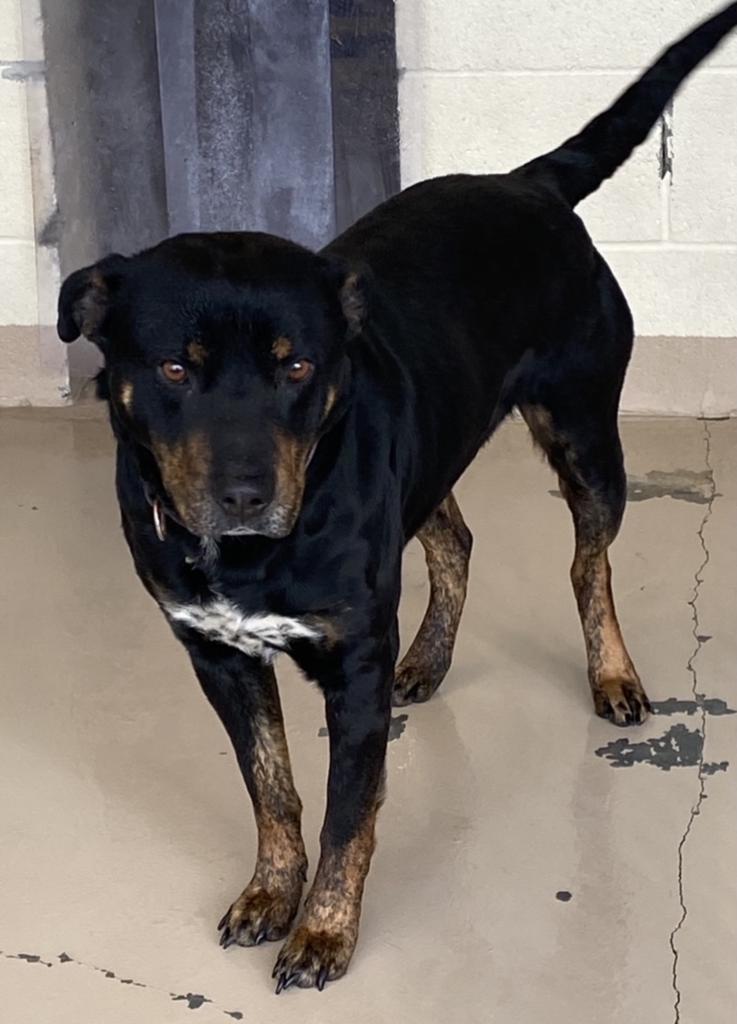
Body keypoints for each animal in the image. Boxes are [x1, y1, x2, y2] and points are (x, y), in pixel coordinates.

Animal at [54, 2, 732, 991]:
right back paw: (431, 656)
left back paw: (611, 673)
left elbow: (349, 811)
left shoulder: (354, 667)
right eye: (175, 368)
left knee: (586, 563)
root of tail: (524, 184)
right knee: (453, 539)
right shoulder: (217, 656)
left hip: (584, 436)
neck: (254, 557)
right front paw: (271, 890)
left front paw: (324, 931)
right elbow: (271, 789)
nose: (246, 495)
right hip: (433, 452)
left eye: (298, 366)